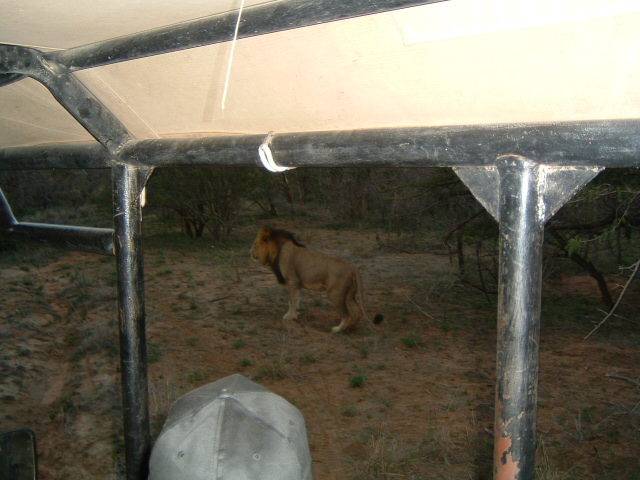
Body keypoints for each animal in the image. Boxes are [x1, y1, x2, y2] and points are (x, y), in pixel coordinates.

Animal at [250, 227, 383, 333]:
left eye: (255, 244)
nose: (250, 253)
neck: (280, 247)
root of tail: (353, 269)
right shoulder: (297, 284)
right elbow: (295, 299)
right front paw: (296, 314)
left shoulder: (292, 281)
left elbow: (291, 300)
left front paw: (289, 316)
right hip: (349, 294)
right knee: (357, 312)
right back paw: (349, 328)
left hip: (335, 294)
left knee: (347, 316)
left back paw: (338, 330)